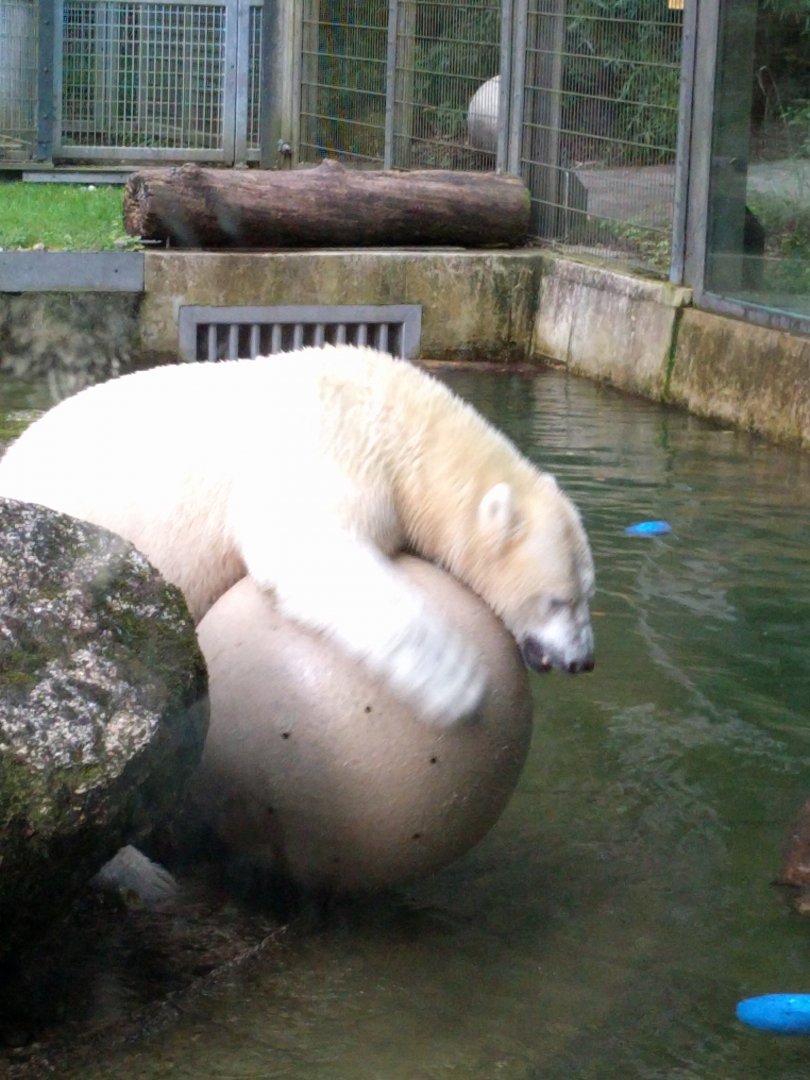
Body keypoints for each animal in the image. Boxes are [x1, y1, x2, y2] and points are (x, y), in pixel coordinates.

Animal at [0, 345, 595, 726]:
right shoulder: (333, 443)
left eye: (588, 594)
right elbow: (306, 544)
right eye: (557, 600)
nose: (583, 661)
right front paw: (457, 680)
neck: (402, 423)